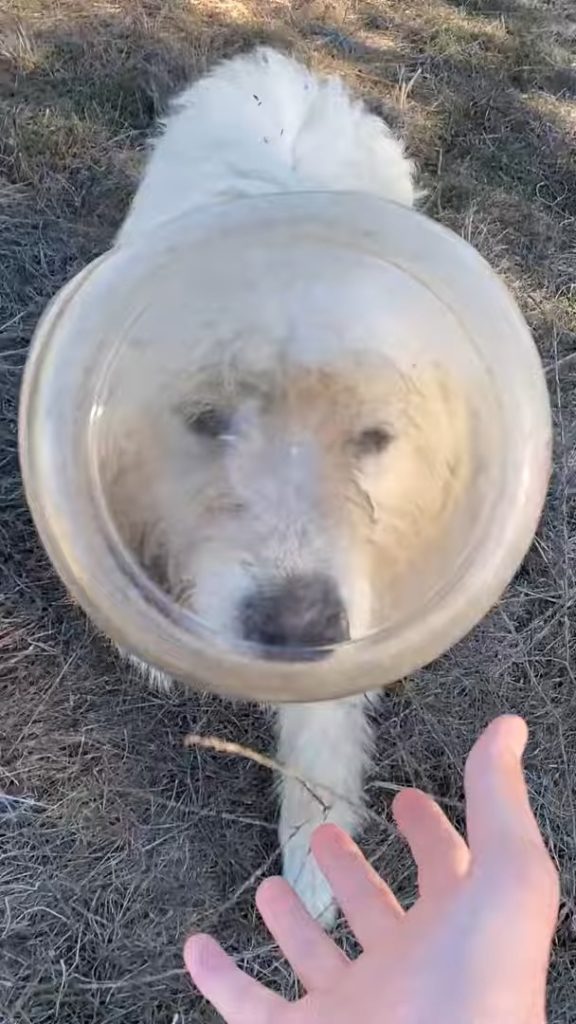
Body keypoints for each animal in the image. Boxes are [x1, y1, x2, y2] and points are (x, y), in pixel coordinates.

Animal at [109, 48, 469, 925]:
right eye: (209, 419)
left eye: (371, 439)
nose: (296, 630)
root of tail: (283, 74)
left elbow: (324, 731)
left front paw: (316, 858)